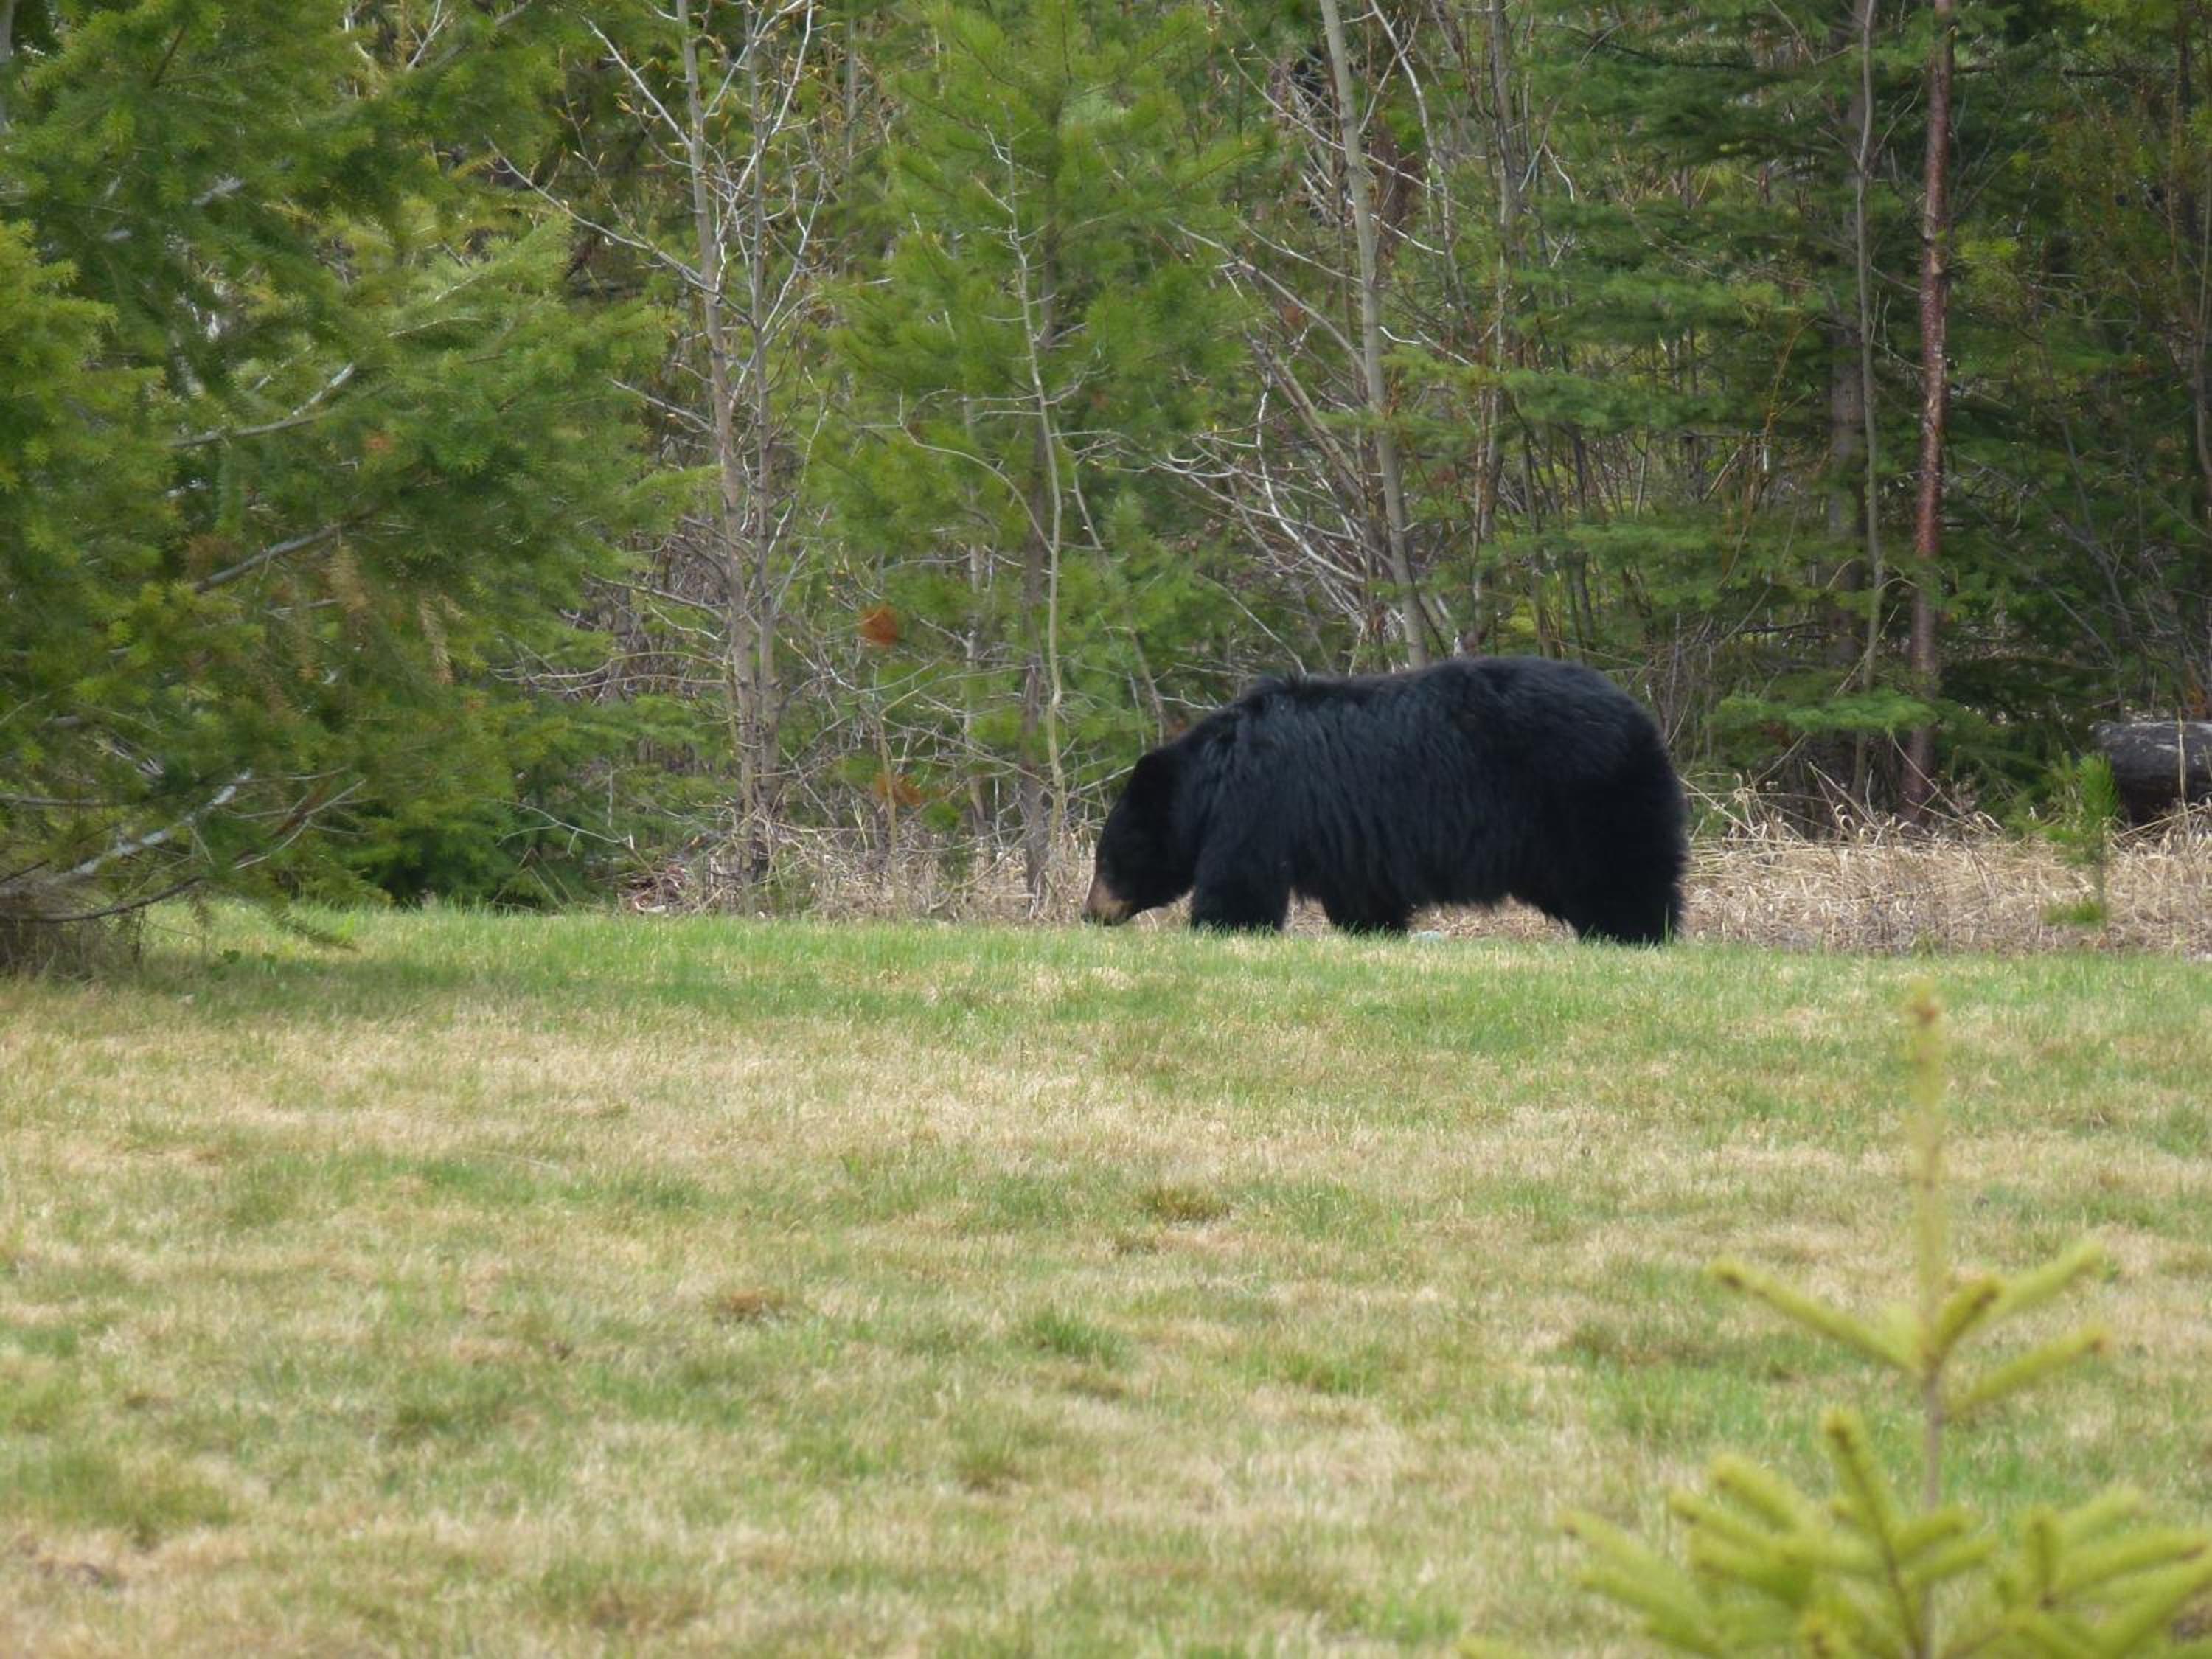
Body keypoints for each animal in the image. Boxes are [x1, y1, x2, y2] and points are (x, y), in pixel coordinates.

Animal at [1082, 655, 1686, 943]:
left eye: (1107, 859)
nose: (1092, 913)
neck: (1212, 780)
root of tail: (1641, 719)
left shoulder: (1259, 804)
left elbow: (1240, 883)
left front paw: (1218, 928)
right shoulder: (1348, 836)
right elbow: (1362, 893)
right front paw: (1375, 929)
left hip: (1586, 796)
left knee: (1621, 873)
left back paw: (1634, 933)